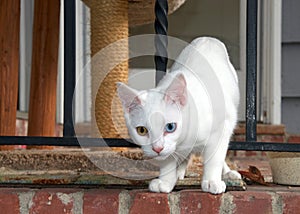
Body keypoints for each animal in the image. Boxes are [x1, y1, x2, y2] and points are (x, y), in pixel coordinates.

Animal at [117, 36, 241, 194]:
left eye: (170, 127)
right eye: (141, 130)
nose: (157, 148)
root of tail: (207, 38)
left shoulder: (222, 126)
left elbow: (215, 157)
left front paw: (212, 180)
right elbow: (168, 159)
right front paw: (166, 181)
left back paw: (227, 172)